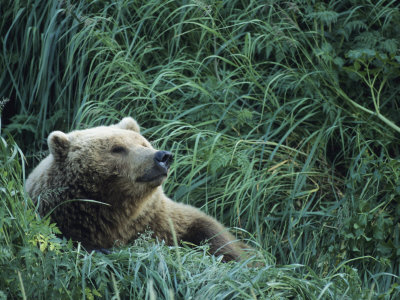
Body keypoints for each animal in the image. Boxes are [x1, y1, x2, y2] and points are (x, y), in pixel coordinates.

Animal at [25, 116, 247, 262]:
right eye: (117, 148)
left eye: (143, 143)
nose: (163, 156)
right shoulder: (58, 217)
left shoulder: (157, 219)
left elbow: (209, 228)